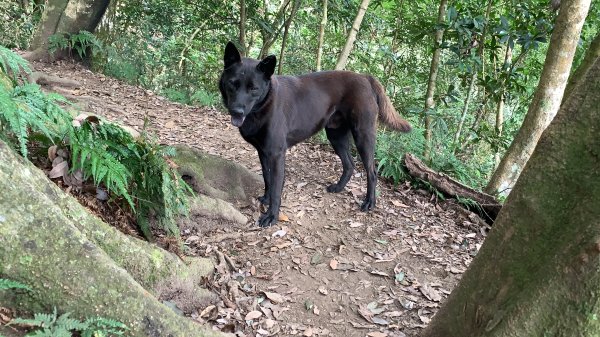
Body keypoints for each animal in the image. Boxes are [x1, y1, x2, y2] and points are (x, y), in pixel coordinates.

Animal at [218, 42, 410, 226]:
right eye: (233, 83)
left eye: (254, 89)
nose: (236, 111)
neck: (263, 105)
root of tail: (365, 77)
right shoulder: (263, 152)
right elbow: (267, 178)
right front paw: (266, 198)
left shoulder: (276, 154)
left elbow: (276, 188)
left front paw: (271, 216)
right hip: (336, 136)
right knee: (349, 164)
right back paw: (338, 188)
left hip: (363, 136)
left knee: (372, 171)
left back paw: (369, 202)